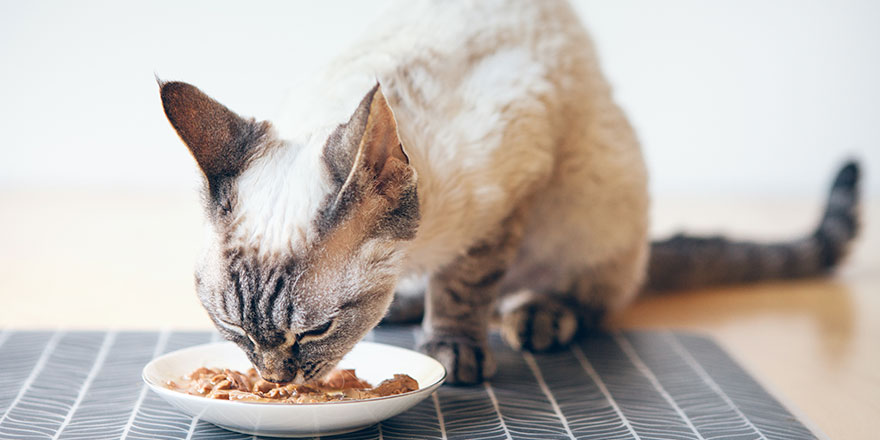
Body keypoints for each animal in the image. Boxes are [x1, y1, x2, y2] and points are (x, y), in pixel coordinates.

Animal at [156, 0, 860, 384]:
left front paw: (454, 350)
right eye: (231, 329)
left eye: (317, 331)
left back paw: (537, 315)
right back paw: (408, 305)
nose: (276, 380)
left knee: (590, 298)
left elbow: (467, 285)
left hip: (594, 201)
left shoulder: (513, 187)